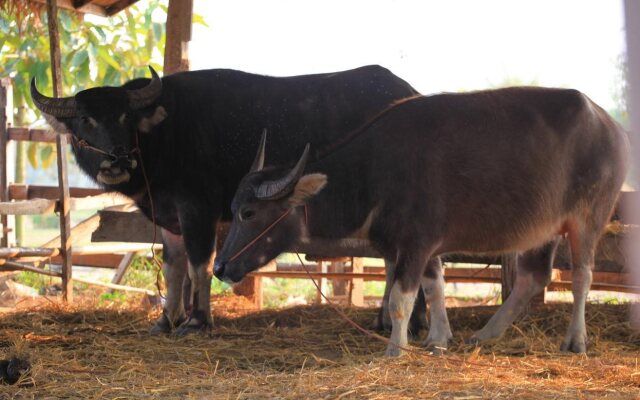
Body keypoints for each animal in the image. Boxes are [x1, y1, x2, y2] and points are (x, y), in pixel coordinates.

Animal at [32, 65, 418, 334]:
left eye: (125, 116)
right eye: (85, 119)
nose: (118, 159)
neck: (165, 138)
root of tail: (408, 92)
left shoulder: (197, 210)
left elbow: (199, 265)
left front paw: (197, 321)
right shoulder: (170, 218)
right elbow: (173, 268)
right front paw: (166, 319)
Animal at [215, 87, 632, 356]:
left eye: (249, 213)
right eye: (234, 208)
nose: (219, 267)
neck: (374, 174)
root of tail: (610, 126)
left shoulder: (415, 244)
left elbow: (401, 298)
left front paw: (396, 349)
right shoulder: (427, 248)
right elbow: (434, 289)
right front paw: (438, 339)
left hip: (588, 219)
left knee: (581, 277)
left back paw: (575, 341)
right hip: (542, 228)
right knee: (534, 277)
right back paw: (486, 333)